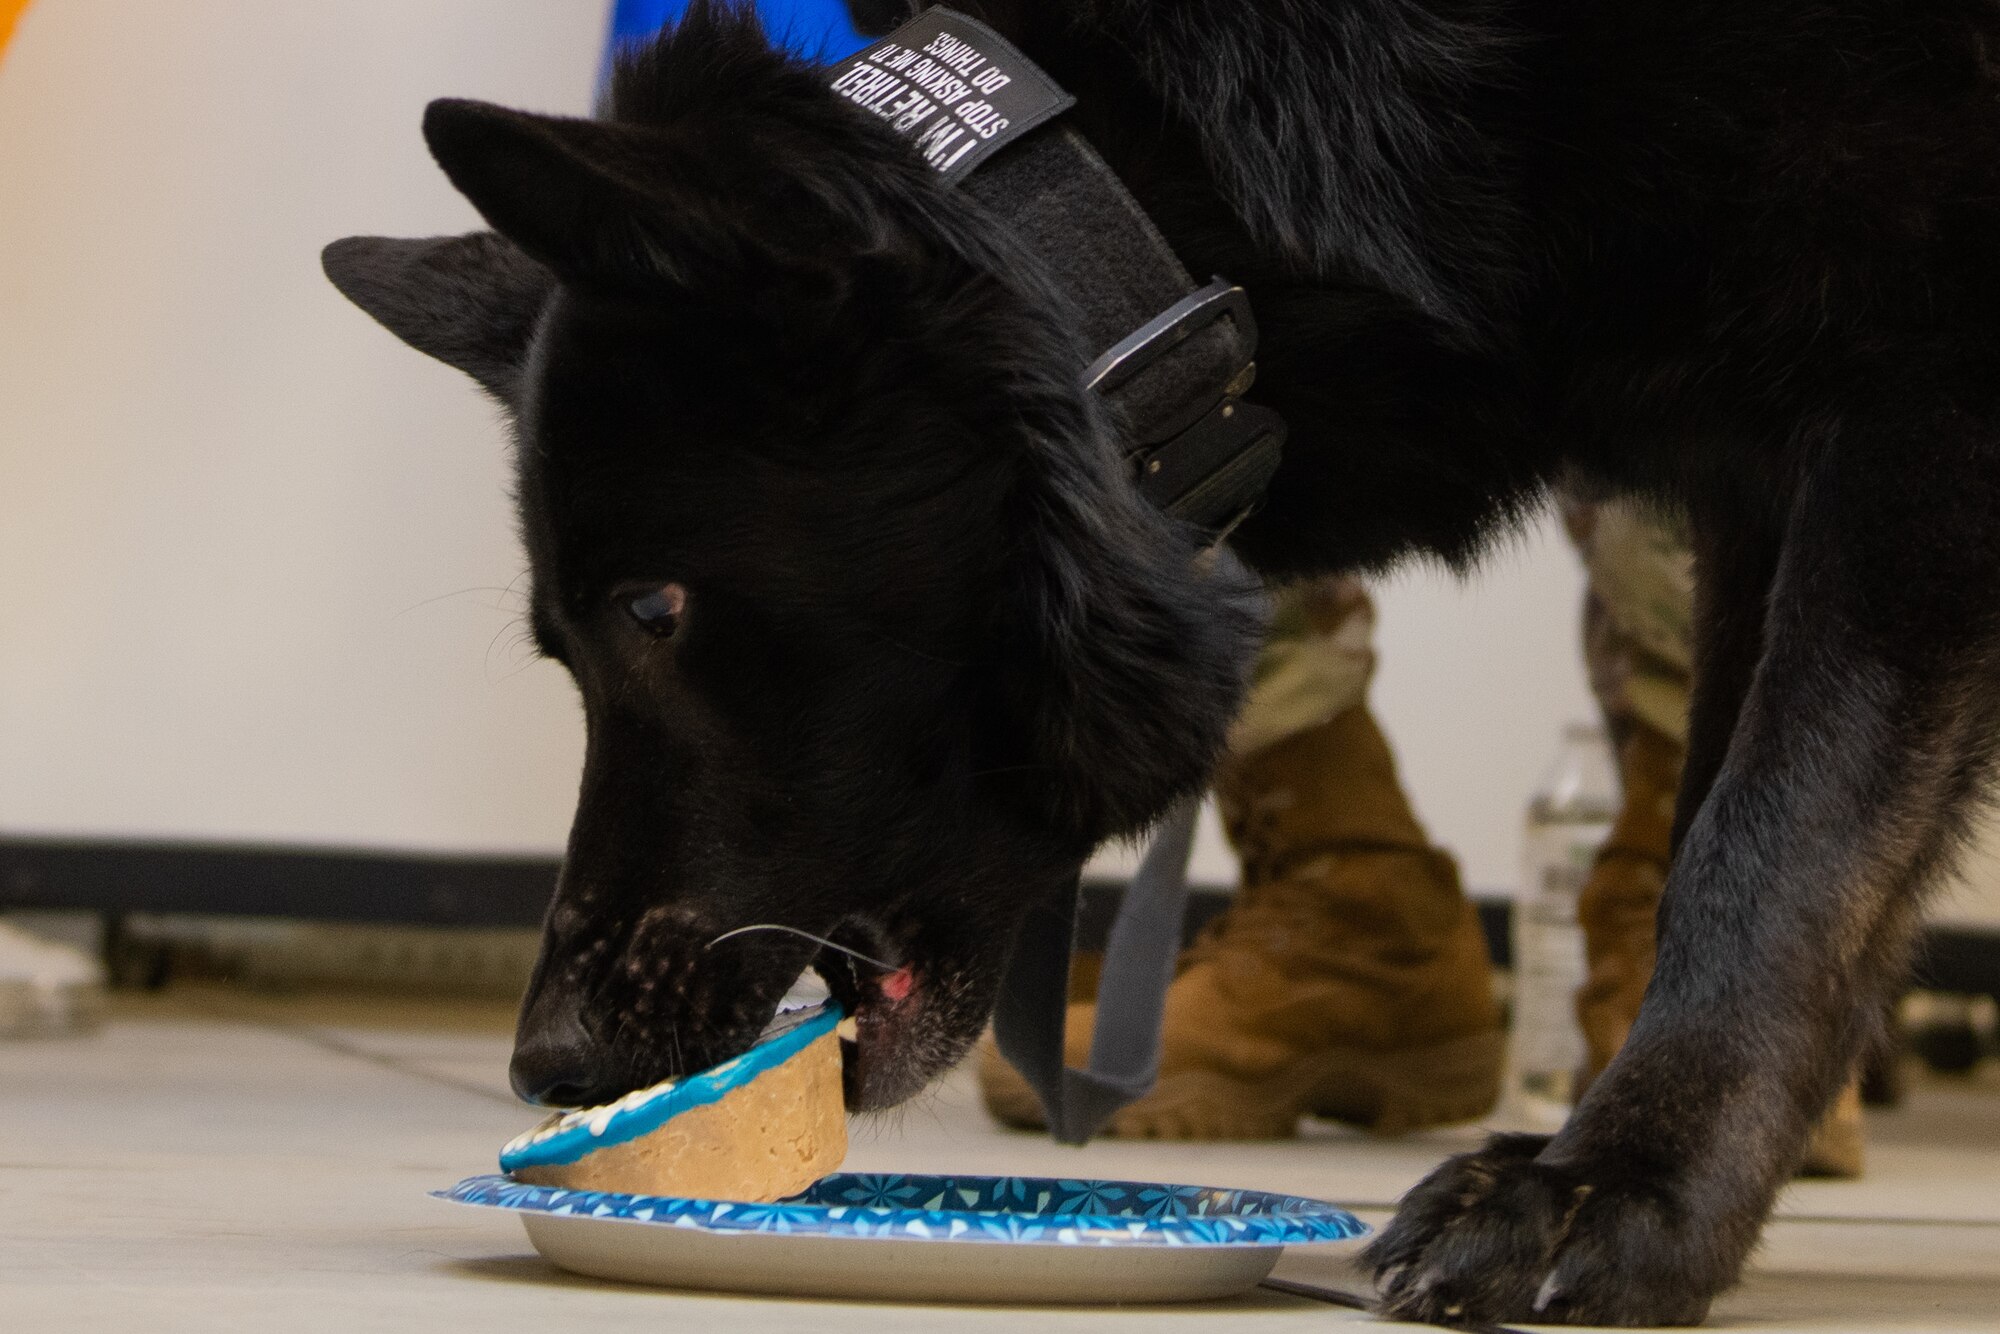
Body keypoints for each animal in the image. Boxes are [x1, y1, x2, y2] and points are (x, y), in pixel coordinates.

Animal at [328, 2, 2000, 1328]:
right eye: (564, 643)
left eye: (655, 611)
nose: (549, 1061)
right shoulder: (1753, 476)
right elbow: (1726, 820)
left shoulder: (1907, 406)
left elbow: (1767, 850)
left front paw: (1621, 1192)